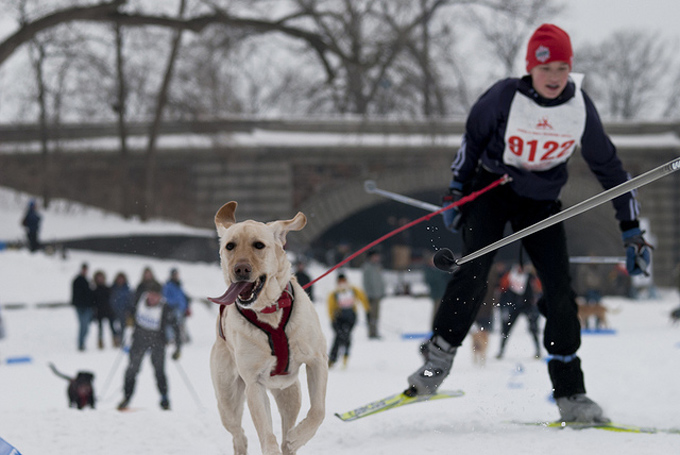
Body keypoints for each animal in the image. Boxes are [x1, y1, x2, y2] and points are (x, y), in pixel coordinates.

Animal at [209, 203, 328, 455]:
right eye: (230, 246)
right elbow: (266, 433)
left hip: (290, 394)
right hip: (228, 399)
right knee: (239, 434)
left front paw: (297, 437)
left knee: (287, 424)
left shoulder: (317, 360)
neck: (269, 311)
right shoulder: (254, 383)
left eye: (259, 245)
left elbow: (318, 411)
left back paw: (290, 441)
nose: (240, 269)